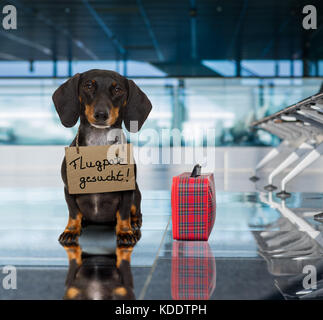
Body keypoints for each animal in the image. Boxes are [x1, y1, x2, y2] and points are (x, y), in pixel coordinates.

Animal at [52, 69, 153, 246]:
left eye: (118, 89)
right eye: (88, 85)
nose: (101, 114)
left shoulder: (127, 191)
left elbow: (123, 213)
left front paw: (125, 232)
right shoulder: (69, 188)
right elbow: (74, 212)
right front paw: (71, 230)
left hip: (136, 192)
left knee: (136, 211)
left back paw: (134, 223)